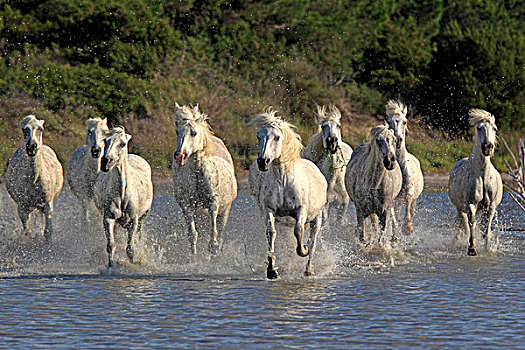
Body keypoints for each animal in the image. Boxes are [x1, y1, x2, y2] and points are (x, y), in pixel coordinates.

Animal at [93, 127, 152, 266]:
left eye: (122, 144)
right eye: (105, 141)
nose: (105, 162)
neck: (122, 194)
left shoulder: (133, 221)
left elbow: (130, 249)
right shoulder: (108, 218)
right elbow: (111, 245)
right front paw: (111, 266)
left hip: (141, 218)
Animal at [171, 102, 236, 256]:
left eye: (193, 133)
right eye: (177, 131)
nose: (179, 156)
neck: (198, 175)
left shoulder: (213, 202)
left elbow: (214, 235)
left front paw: (213, 249)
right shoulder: (187, 205)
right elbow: (193, 234)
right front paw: (194, 256)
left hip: (225, 209)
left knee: (221, 232)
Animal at [248, 109, 326, 278]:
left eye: (277, 137)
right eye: (258, 136)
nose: (262, 162)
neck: (283, 181)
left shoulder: (301, 210)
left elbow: (299, 232)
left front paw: (303, 250)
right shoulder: (270, 210)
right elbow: (271, 233)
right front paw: (271, 270)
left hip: (317, 218)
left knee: (313, 241)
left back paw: (308, 269)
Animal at [382, 100, 424, 234]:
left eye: (404, 121)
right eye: (388, 121)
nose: (398, 140)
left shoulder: (409, 191)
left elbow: (408, 204)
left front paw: (407, 227)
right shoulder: (392, 196)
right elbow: (393, 216)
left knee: (411, 208)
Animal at [446, 108, 504, 256]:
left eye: (494, 128)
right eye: (479, 128)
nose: (487, 147)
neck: (482, 175)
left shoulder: (490, 206)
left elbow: (486, 229)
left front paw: (487, 248)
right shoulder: (470, 204)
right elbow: (472, 224)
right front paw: (472, 249)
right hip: (460, 207)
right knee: (464, 224)